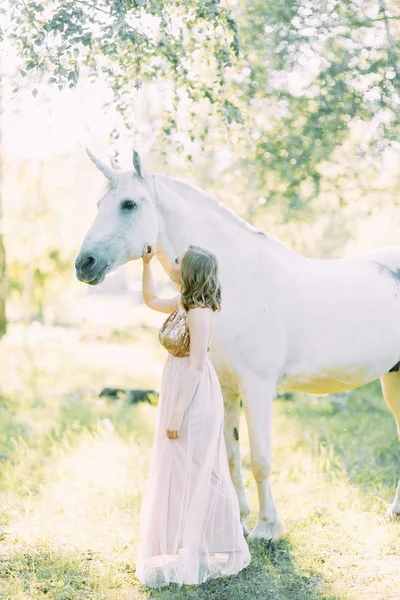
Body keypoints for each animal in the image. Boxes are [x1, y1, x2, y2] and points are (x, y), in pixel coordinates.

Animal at [75, 151, 400, 544]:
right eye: (99, 204)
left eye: (128, 204)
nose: (84, 264)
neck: (238, 282)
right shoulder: (228, 388)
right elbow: (231, 456)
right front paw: (241, 522)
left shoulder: (257, 389)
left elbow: (259, 459)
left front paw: (267, 528)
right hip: (393, 378)